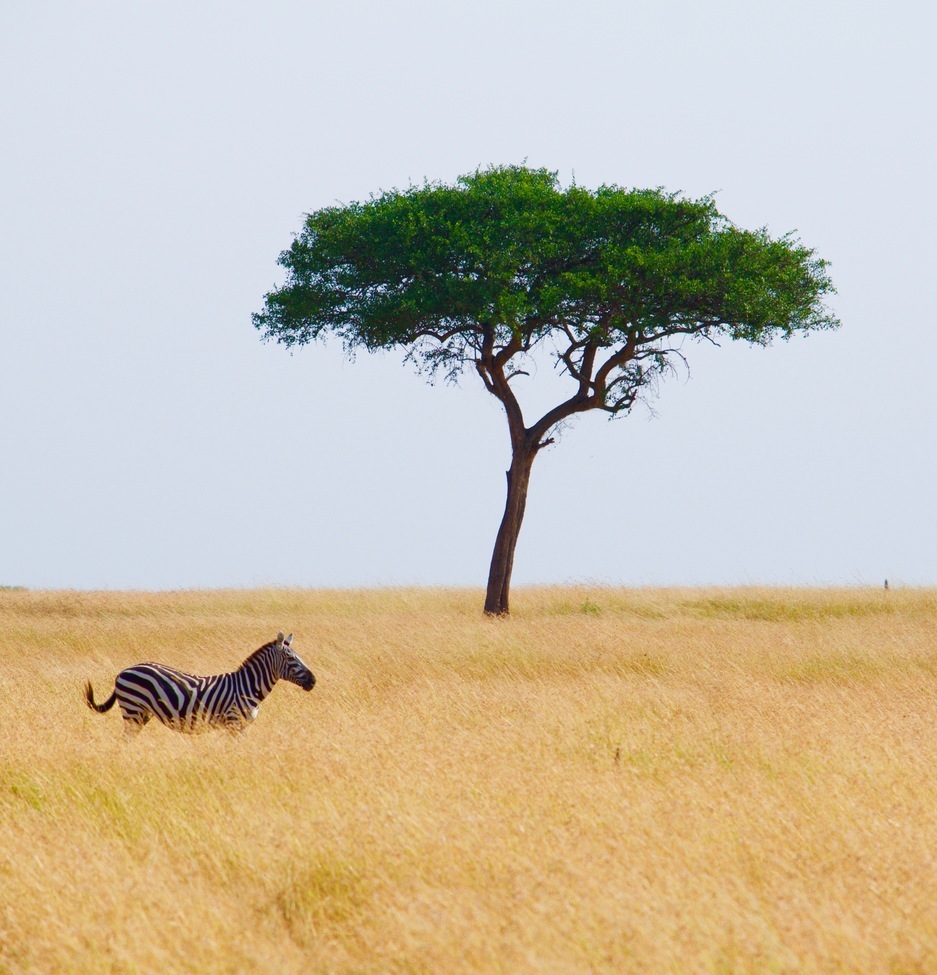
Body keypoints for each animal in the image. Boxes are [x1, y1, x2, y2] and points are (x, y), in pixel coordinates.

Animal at [85, 632, 315, 735]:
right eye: (291, 659)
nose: (313, 681)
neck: (247, 688)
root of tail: (123, 671)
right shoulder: (233, 723)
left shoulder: (239, 727)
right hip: (133, 710)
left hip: (141, 714)